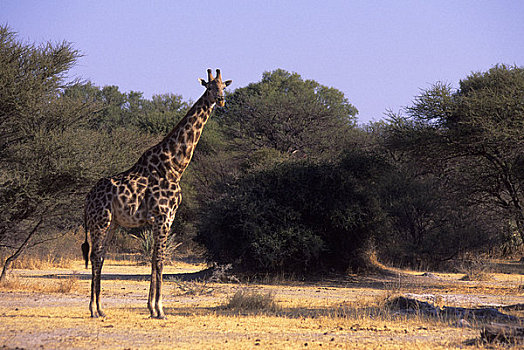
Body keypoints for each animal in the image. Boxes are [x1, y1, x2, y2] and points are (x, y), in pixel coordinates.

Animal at [81, 69, 231, 320]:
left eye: (224, 87)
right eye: (209, 87)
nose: (220, 100)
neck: (175, 167)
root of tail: (87, 199)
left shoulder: (162, 219)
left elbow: (153, 260)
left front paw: (151, 308)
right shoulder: (163, 217)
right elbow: (160, 261)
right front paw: (160, 309)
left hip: (112, 224)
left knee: (100, 256)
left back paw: (101, 308)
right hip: (100, 221)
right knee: (94, 256)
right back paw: (93, 309)